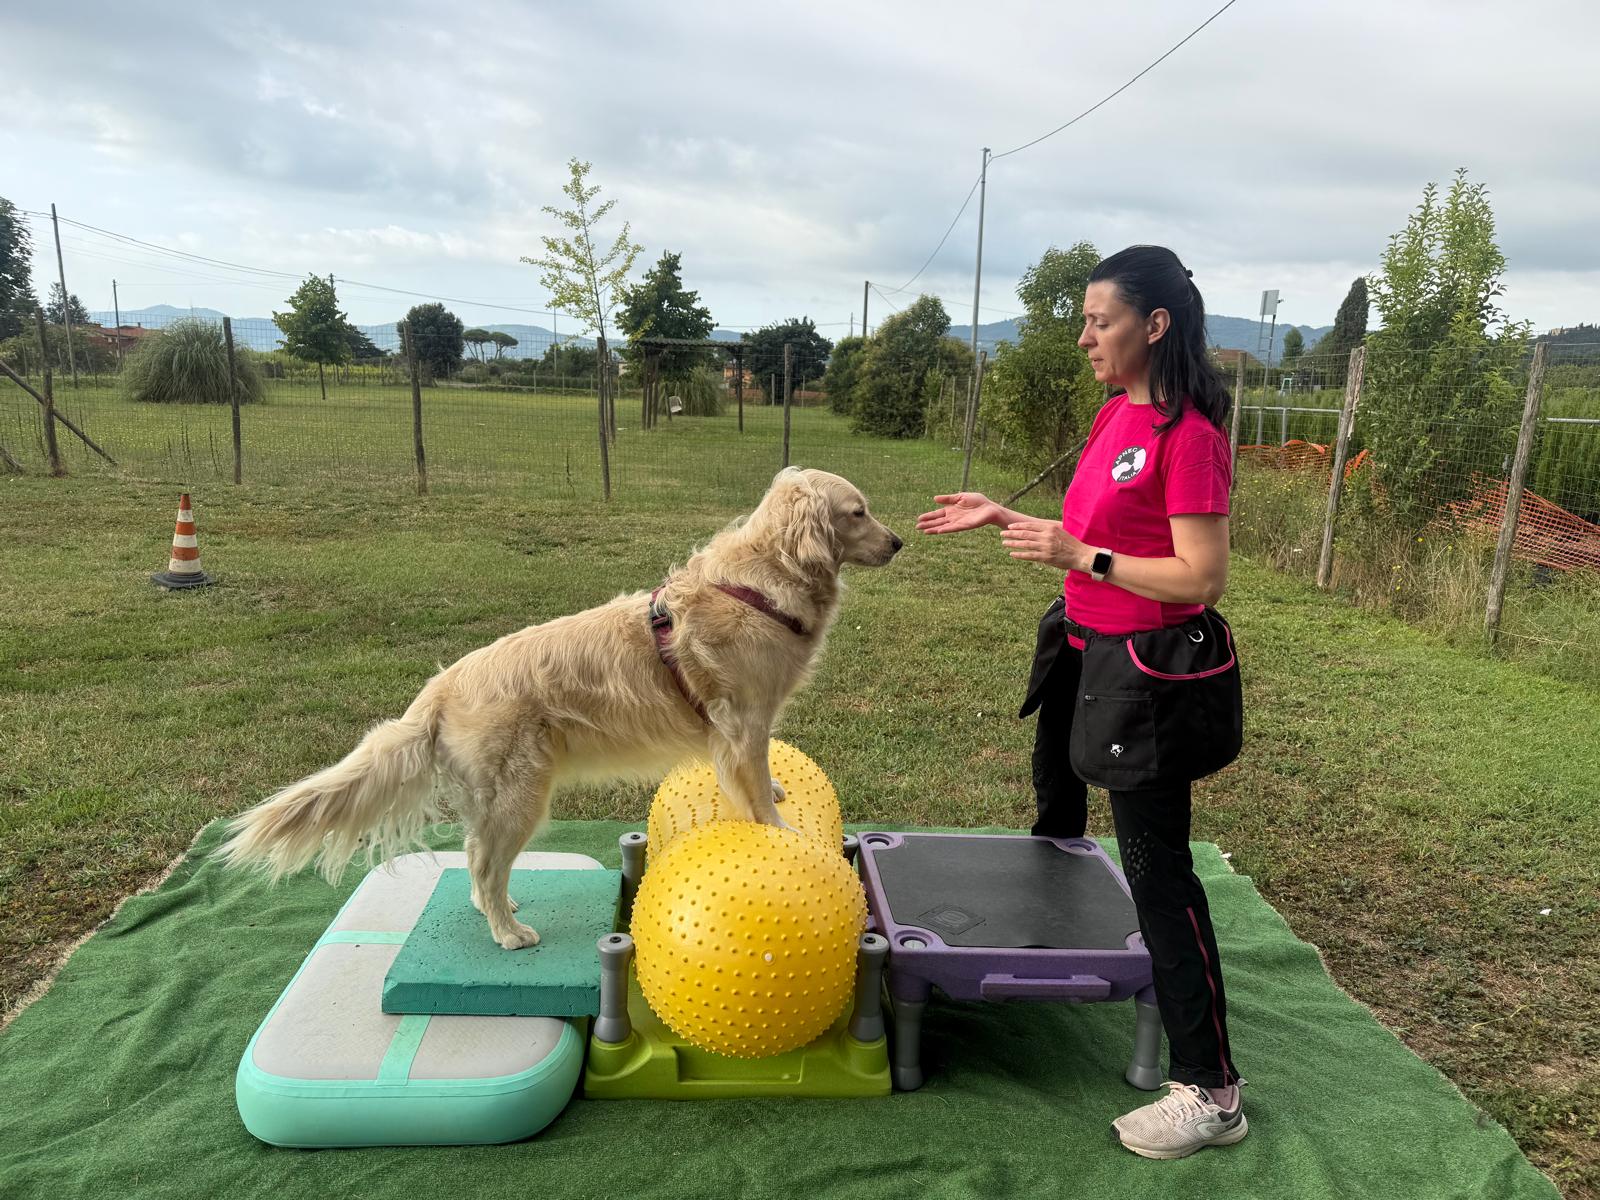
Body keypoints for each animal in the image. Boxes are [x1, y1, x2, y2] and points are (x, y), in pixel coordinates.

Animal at [219, 468, 902, 949]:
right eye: (858, 511)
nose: (898, 542)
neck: (763, 581)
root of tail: (437, 691)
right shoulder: (742, 721)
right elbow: (754, 789)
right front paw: (780, 829)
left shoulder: (743, 727)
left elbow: (760, 776)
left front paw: (781, 798)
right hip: (521, 796)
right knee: (486, 864)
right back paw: (508, 932)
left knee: (475, 857)